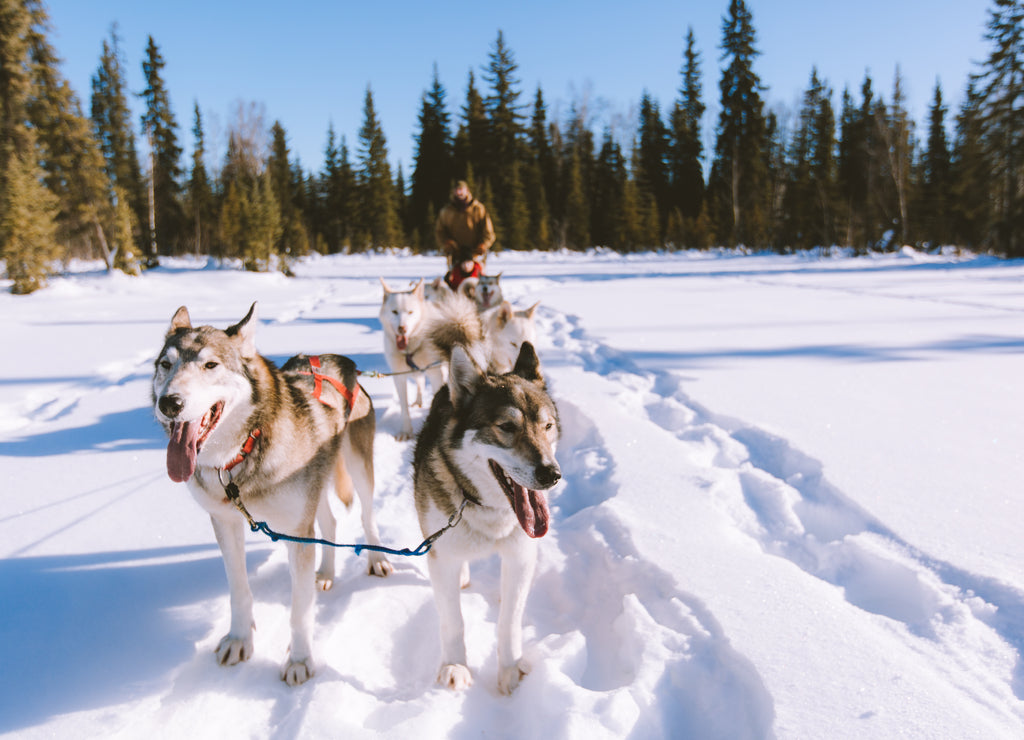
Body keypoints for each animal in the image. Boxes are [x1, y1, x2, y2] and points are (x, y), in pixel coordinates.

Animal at [151, 302, 391, 687]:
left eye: (210, 365)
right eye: (165, 364)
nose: (169, 402)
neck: (242, 452)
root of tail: (337, 360)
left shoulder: (296, 531)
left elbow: (300, 609)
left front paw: (300, 659)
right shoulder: (225, 522)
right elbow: (238, 589)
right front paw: (238, 640)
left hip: (357, 466)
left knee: (367, 516)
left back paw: (377, 559)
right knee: (329, 522)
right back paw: (325, 573)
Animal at [376, 278, 440, 440]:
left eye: (410, 312)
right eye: (394, 312)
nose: (402, 328)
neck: (410, 348)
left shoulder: (436, 373)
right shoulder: (399, 377)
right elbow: (404, 407)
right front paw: (406, 431)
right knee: (420, 382)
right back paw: (418, 401)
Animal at [411, 341, 565, 695]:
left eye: (547, 426)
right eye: (507, 427)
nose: (551, 474)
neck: (487, 508)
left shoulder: (521, 554)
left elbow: (509, 620)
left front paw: (510, 669)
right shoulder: (443, 557)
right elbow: (453, 620)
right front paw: (455, 666)